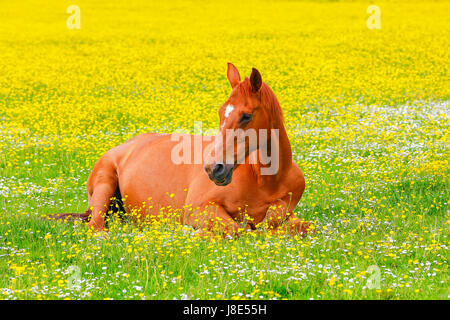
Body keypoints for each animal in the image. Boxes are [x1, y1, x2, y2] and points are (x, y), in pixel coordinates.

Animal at [49, 63, 312, 238]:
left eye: (246, 116)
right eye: (221, 113)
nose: (213, 168)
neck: (264, 179)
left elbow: (300, 225)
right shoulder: (198, 210)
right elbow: (238, 229)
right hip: (104, 185)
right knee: (96, 226)